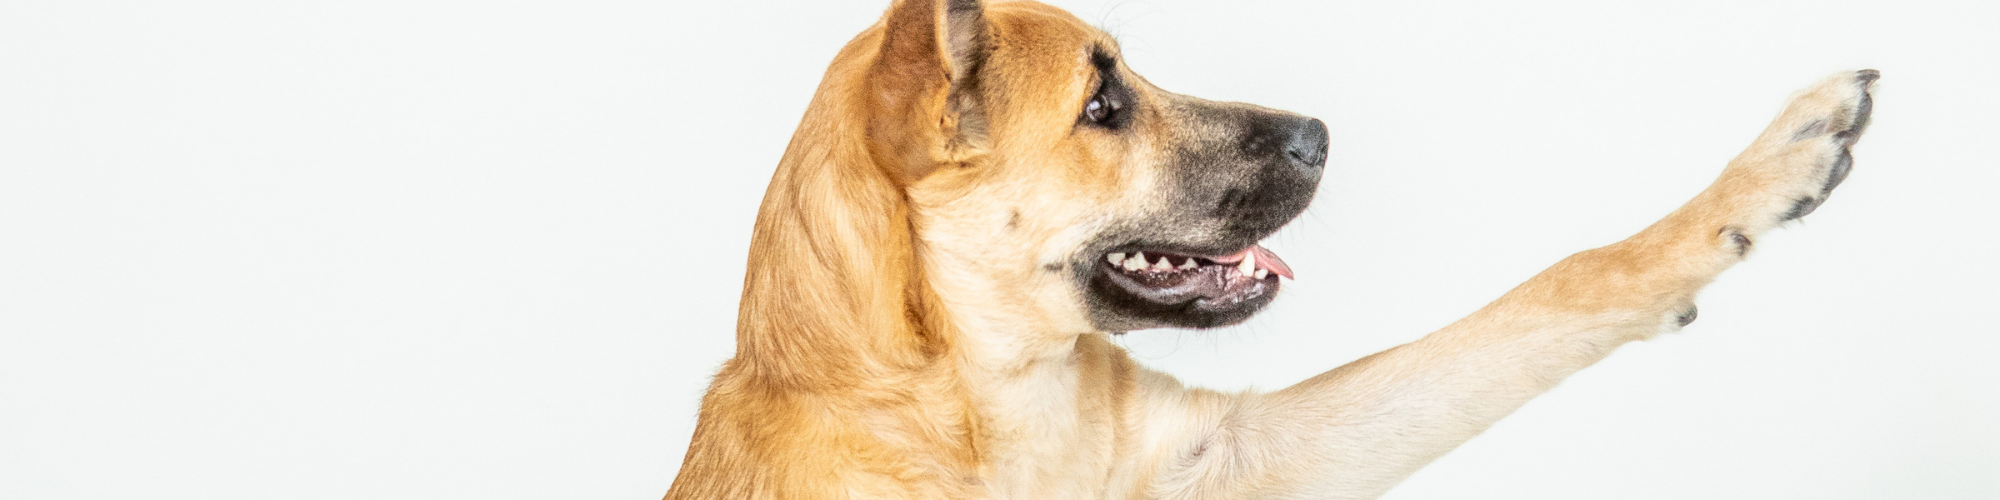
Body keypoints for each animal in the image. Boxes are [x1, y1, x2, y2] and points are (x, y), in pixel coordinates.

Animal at [668, 0, 1872, 496]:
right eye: (1101, 103)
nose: (1319, 136)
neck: (978, 408)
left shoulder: (1234, 455)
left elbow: (1546, 294)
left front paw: (1765, 171)